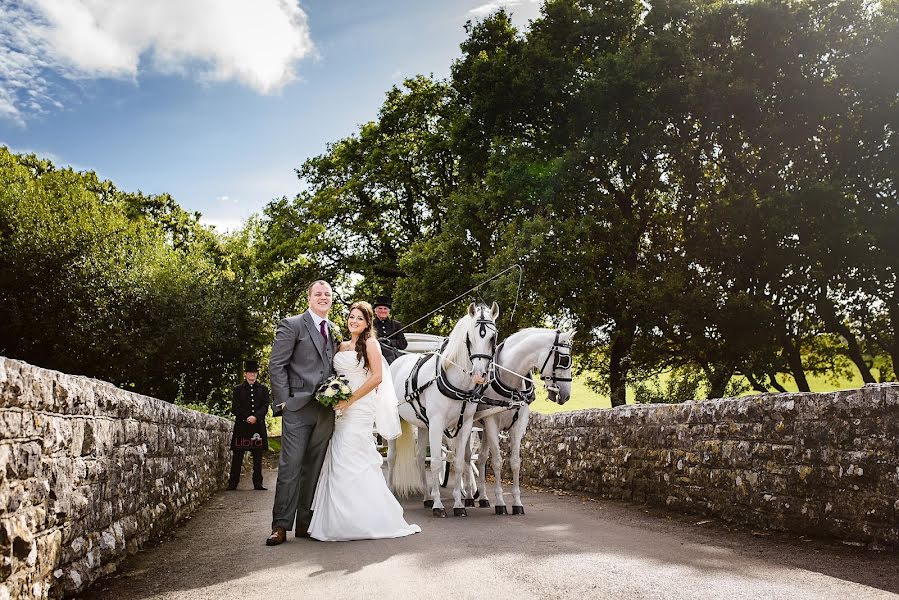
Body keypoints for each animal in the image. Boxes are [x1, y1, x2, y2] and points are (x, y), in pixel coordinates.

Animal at [386, 302, 500, 516]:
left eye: (493, 337)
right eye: (470, 338)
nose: (479, 375)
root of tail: (396, 361)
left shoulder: (465, 424)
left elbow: (459, 462)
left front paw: (458, 504)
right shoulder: (437, 423)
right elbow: (437, 462)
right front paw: (439, 505)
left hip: (423, 425)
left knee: (419, 458)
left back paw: (427, 497)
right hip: (395, 421)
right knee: (391, 457)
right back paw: (390, 491)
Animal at [472, 328, 568, 516]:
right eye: (564, 360)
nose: (566, 395)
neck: (510, 383)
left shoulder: (518, 425)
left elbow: (515, 463)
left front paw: (517, 503)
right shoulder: (492, 423)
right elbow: (497, 462)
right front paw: (500, 502)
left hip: (483, 429)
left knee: (480, 458)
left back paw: (483, 498)